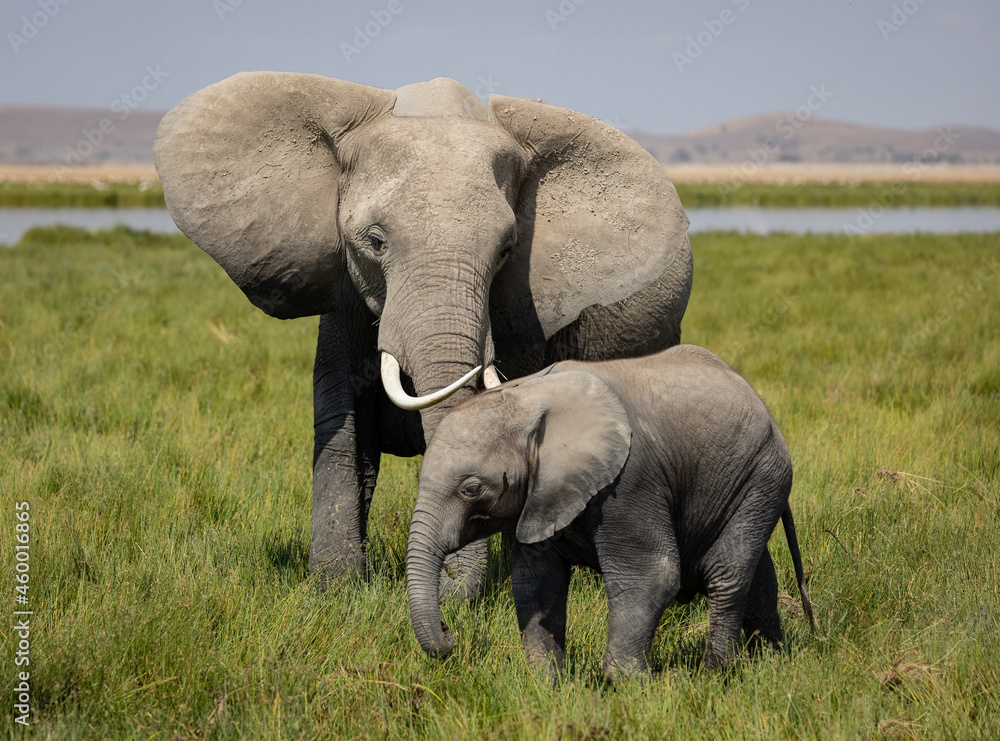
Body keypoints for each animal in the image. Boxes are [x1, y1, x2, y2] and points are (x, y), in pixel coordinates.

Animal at [153, 73, 692, 593]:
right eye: (374, 242)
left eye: (507, 249)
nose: (447, 584)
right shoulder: (345, 288)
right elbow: (342, 415)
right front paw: (338, 589)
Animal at [407, 345, 816, 679]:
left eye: (472, 489)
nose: (448, 633)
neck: (528, 397)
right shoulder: (540, 496)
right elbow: (536, 583)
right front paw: (548, 685)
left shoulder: (630, 481)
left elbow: (652, 575)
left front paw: (632, 684)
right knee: (759, 577)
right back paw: (770, 663)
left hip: (763, 474)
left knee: (726, 573)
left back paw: (714, 674)